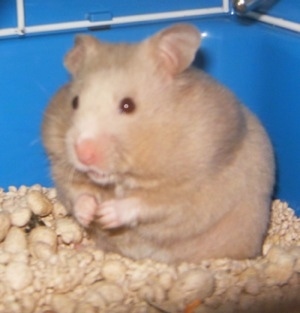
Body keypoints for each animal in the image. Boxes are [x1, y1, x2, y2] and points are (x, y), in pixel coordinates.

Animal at [41, 24, 274, 262]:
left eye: (128, 105)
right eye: (74, 102)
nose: (83, 154)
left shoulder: (190, 189)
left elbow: (148, 203)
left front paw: (106, 214)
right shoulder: (60, 166)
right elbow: (77, 193)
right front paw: (89, 214)